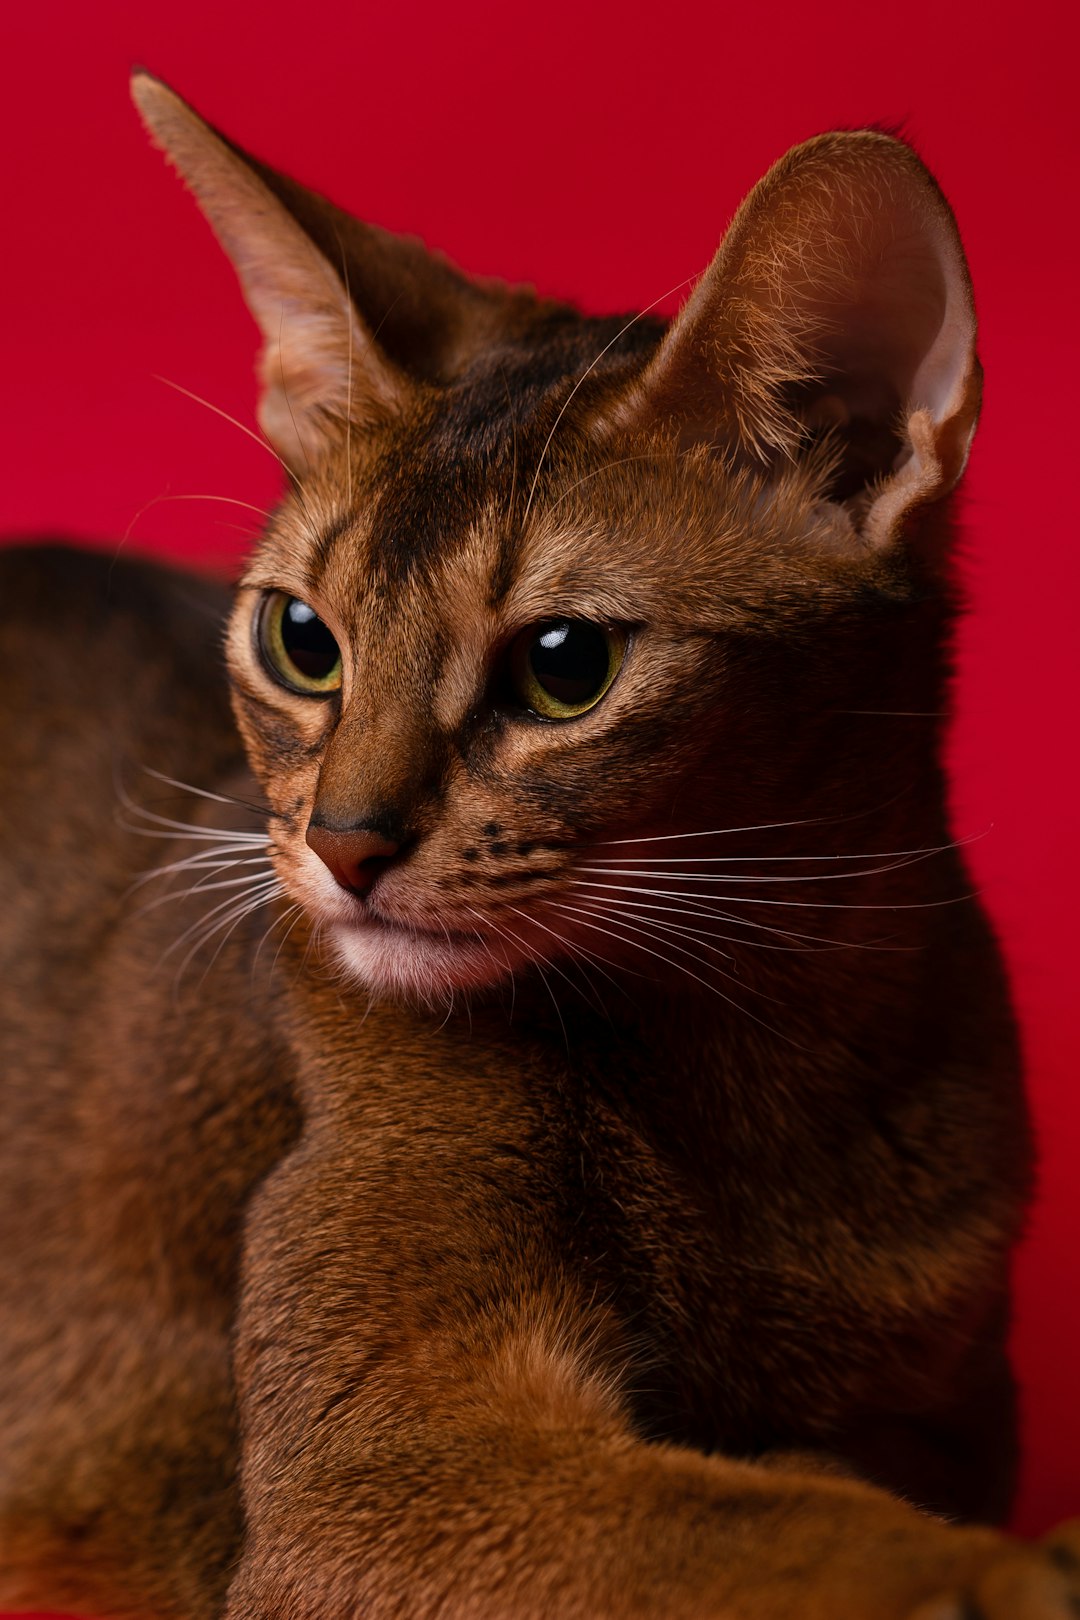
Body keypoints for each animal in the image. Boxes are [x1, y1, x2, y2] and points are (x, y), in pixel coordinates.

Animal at [2, 72, 1080, 1620]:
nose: (345, 844)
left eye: (567, 666)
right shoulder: (374, 1484)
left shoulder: (951, 1410)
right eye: (302, 638)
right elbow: (762, 1526)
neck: (774, 1057)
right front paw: (1001, 1574)